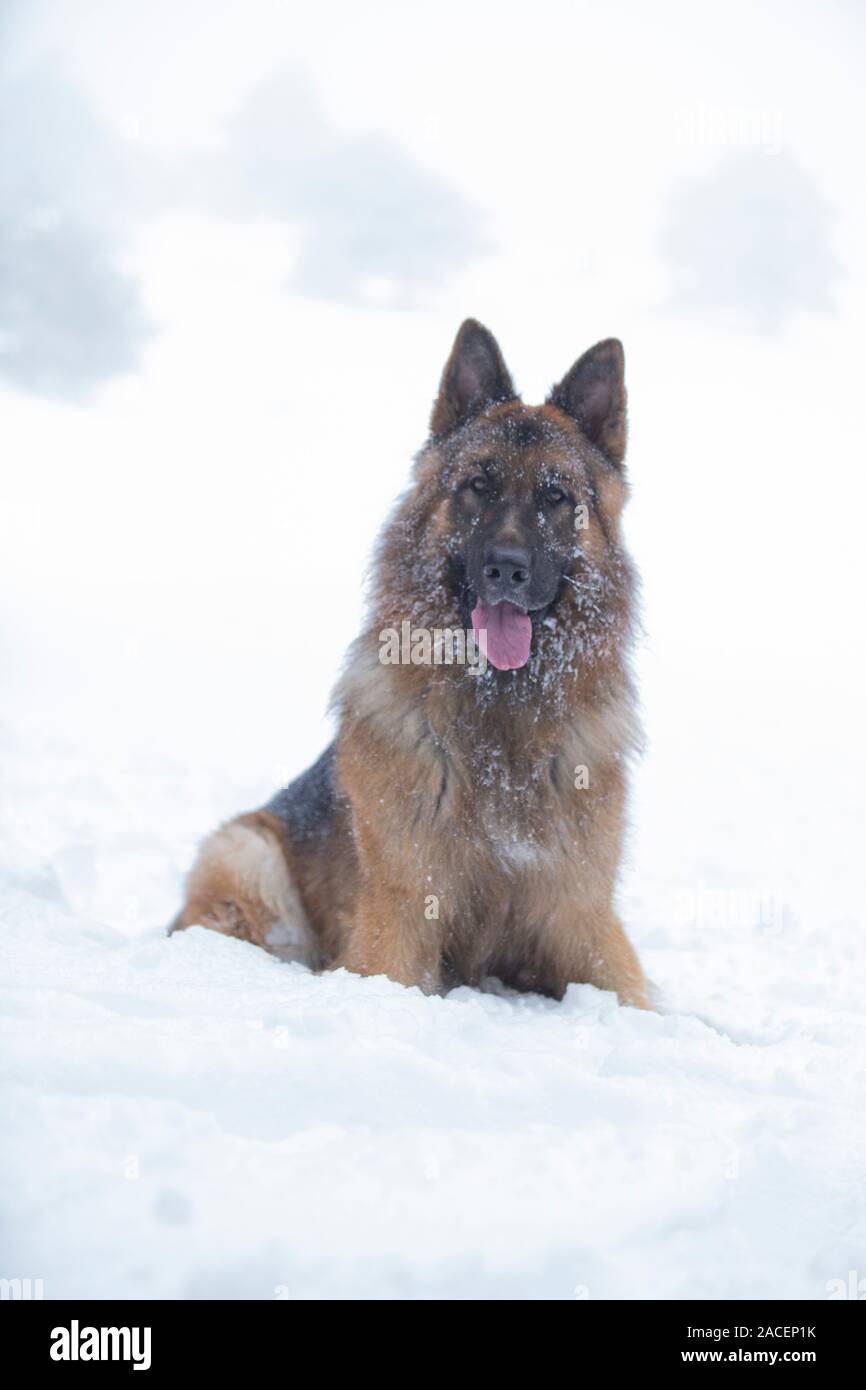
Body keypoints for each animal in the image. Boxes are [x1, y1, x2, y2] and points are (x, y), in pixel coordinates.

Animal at [169, 319, 647, 1006]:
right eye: (478, 485)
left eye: (556, 496)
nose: (506, 568)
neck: (499, 720)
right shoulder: (398, 919)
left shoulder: (582, 919)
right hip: (245, 851)